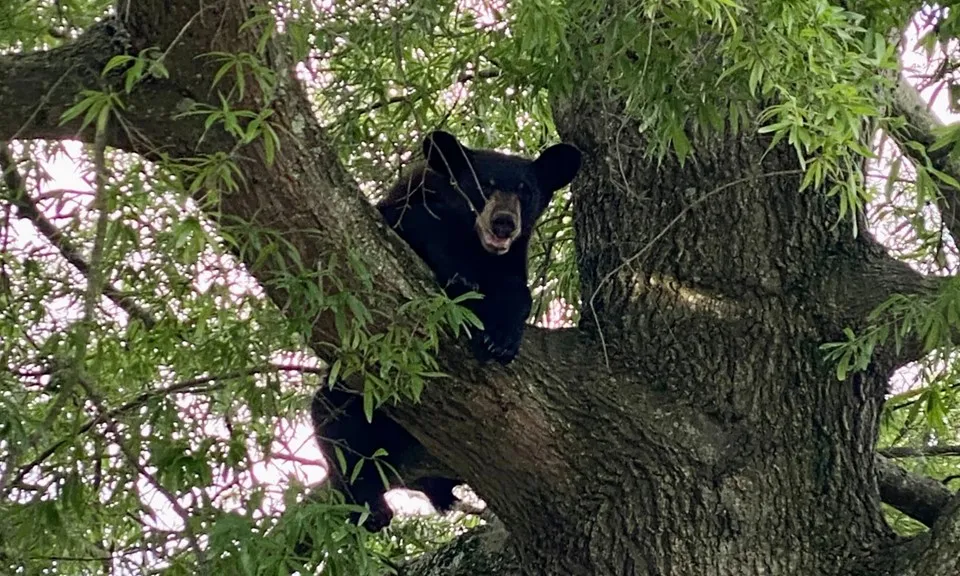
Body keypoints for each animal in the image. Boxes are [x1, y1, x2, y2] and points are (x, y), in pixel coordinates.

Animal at [312, 129, 580, 532]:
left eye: (526, 191)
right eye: (484, 185)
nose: (504, 222)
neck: (474, 244)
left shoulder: (511, 261)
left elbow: (518, 292)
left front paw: (501, 338)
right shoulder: (408, 209)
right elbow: (414, 230)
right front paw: (459, 280)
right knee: (335, 419)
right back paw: (372, 505)